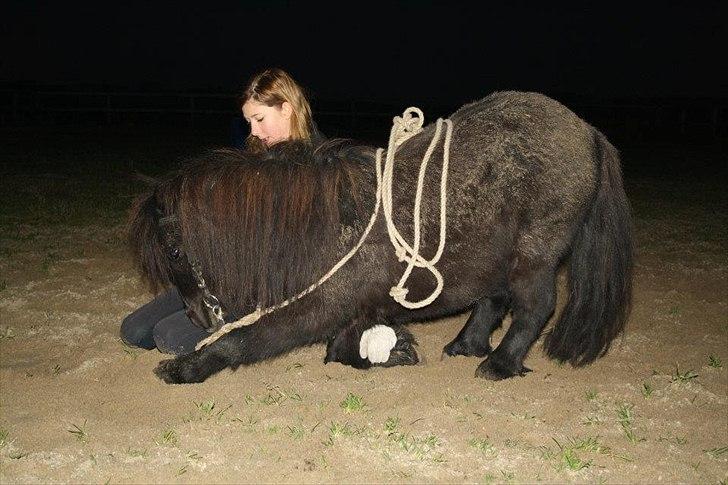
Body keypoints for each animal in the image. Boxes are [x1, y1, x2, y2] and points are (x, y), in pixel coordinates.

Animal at [128, 91, 633, 384]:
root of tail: (586, 131)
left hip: (534, 255)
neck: (318, 225)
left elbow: (246, 341)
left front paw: (183, 367)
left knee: (535, 307)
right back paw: (465, 345)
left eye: (175, 248)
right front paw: (392, 350)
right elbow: (338, 348)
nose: (199, 317)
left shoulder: (314, 308)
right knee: (492, 299)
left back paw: (498, 365)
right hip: (494, 255)